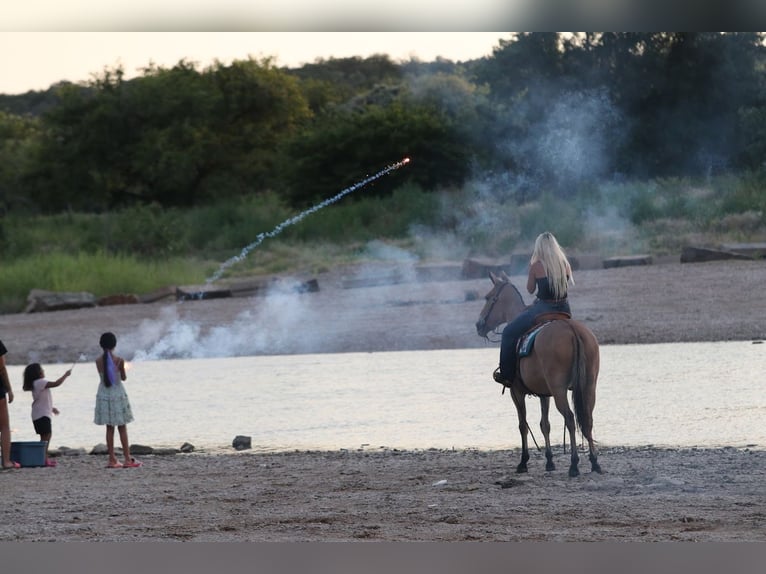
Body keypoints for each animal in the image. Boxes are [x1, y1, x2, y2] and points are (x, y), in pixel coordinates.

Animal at [475, 271, 602, 477]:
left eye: (488, 297)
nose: (479, 324)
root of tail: (571, 329)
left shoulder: (516, 392)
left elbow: (522, 425)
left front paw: (523, 462)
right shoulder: (544, 394)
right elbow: (545, 424)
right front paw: (549, 461)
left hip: (559, 390)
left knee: (569, 418)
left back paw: (574, 464)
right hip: (588, 386)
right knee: (587, 419)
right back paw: (594, 462)